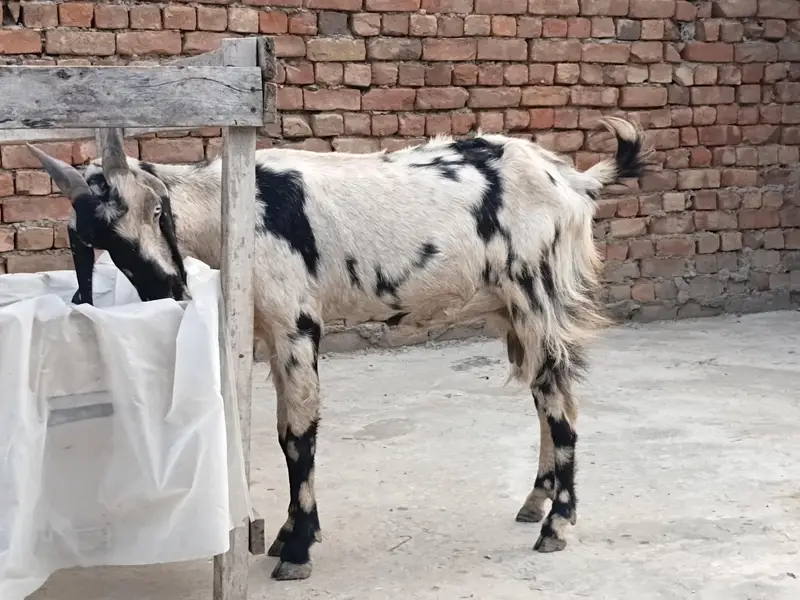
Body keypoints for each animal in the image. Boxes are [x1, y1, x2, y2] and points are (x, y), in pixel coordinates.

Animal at [27, 118, 651, 581]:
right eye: (101, 241)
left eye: (157, 211)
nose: (168, 288)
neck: (235, 209)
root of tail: (572, 182)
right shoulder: (269, 331)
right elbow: (287, 427)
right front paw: (288, 532)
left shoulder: (296, 322)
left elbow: (296, 433)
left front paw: (298, 549)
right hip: (511, 310)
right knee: (545, 394)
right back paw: (536, 502)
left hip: (537, 293)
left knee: (560, 401)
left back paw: (558, 525)